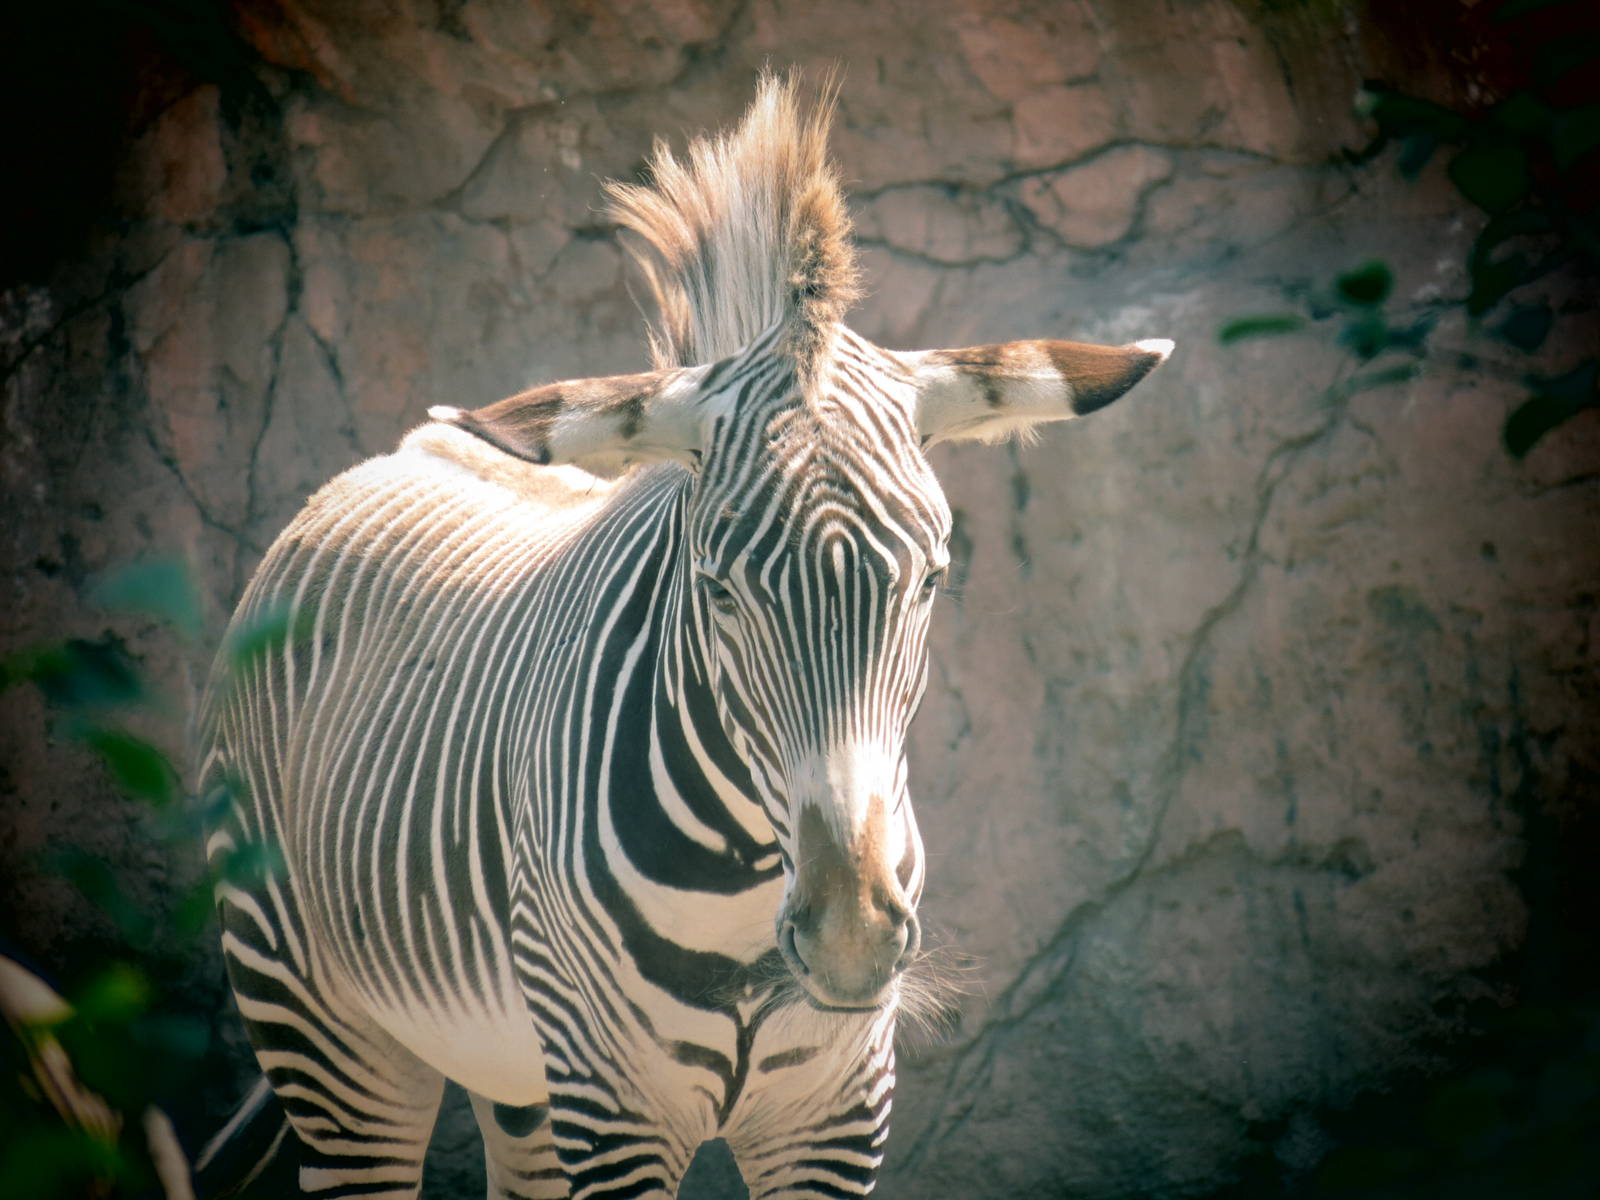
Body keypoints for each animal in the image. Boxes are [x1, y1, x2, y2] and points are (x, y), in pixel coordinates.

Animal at [193, 73, 1171, 1199]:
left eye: (930, 579)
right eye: (717, 589)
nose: (849, 939)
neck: (748, 899)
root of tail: (400, 453)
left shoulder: (834, 1115)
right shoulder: (616, 1108)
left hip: (518, 1076)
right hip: (331, 1035)